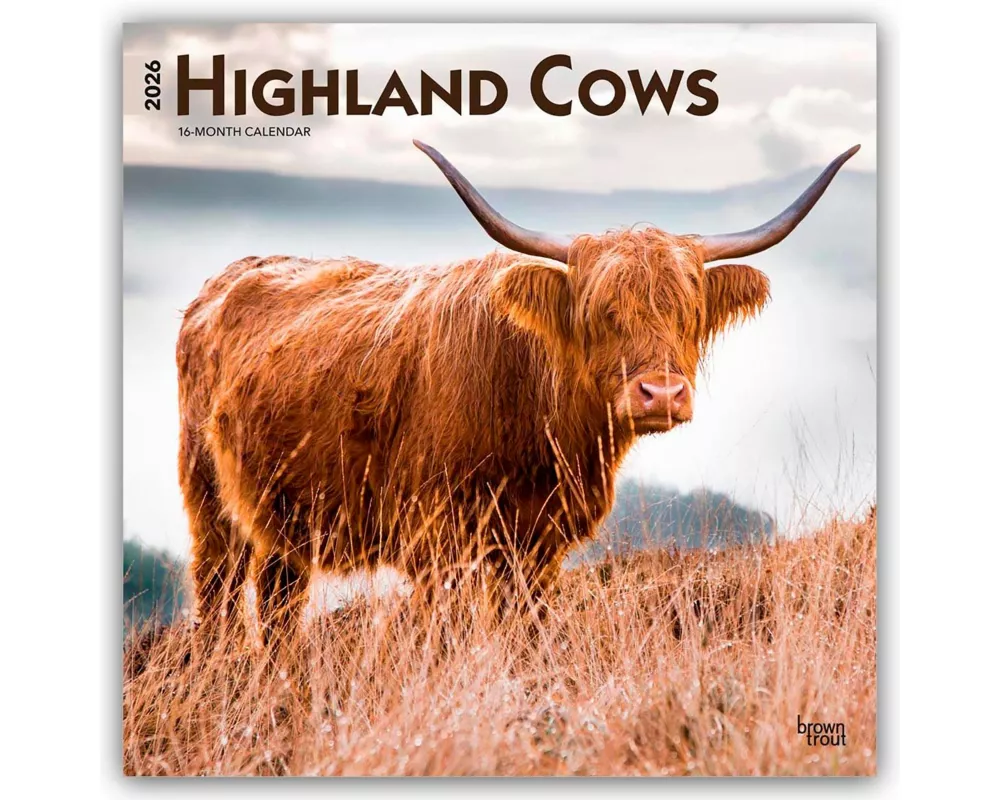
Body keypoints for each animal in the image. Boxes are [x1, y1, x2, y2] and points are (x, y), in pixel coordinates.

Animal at [177, 140, 859, 645]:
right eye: (602, 312)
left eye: (688, 312)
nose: (661, 394)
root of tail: (224, 280)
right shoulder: (439, 540)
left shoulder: (539, 547)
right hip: (210, 502)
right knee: (218, 595)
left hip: (283, 522)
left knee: (278, 603)